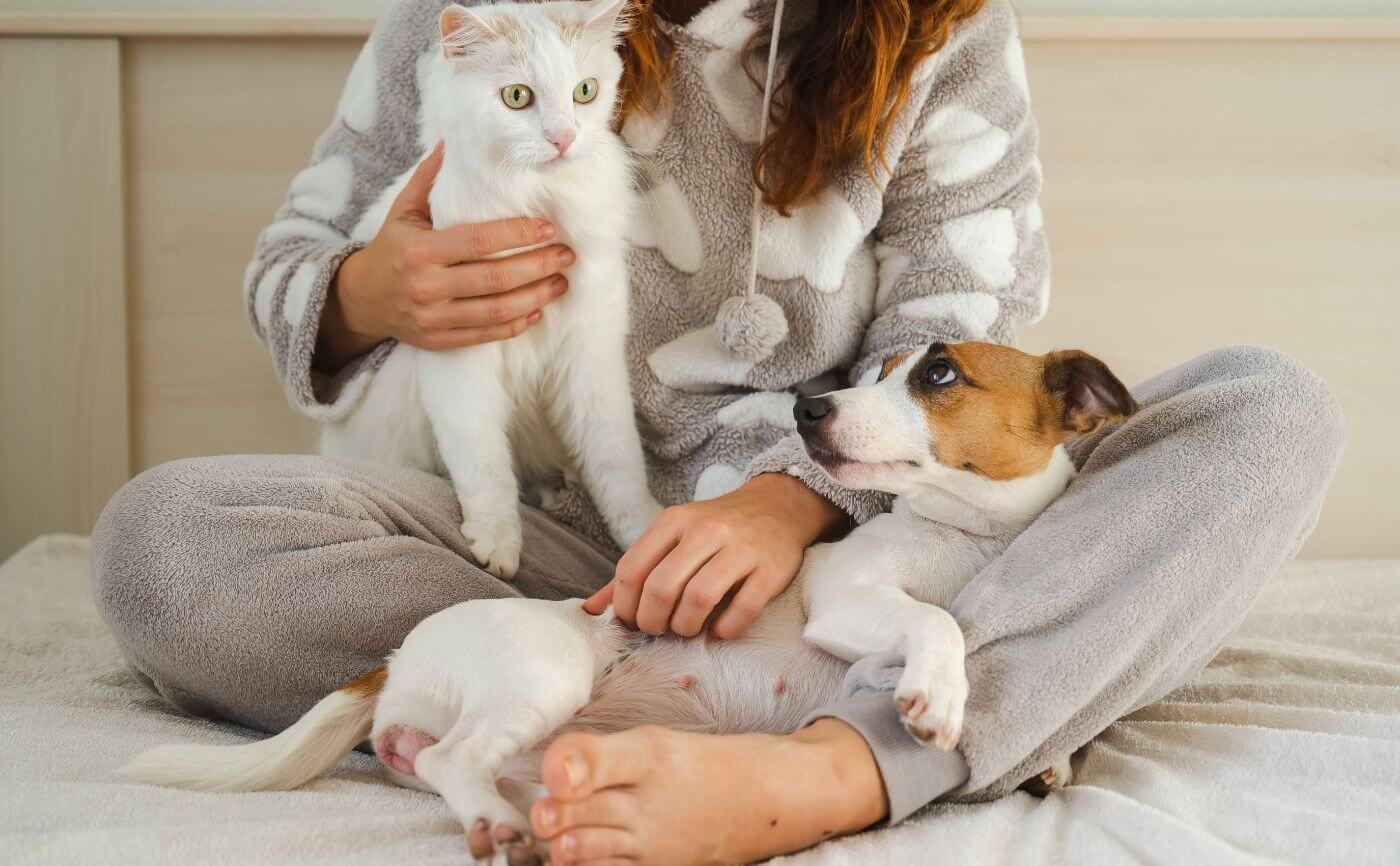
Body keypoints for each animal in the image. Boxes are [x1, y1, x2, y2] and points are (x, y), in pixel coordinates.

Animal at [120, 344, 1136, 861]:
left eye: (938, 375)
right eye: (870, 373)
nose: (806, 410)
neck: (968, 538)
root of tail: (396, 659)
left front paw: (1051, 761)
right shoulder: (846, 599)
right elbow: (938, 619)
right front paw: (939, 693)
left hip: (546, 753)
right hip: (540, 680)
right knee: (452, 758)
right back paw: (496, 826)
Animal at [322, 1, 660, 581]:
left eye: (585, 91)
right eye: (517, 96)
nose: (563, 139)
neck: (540, 198)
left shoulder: (591, 354)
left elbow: (618, 462)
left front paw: (645, 537)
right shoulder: (461, 363)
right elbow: (484, 464)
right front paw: (497, 546)